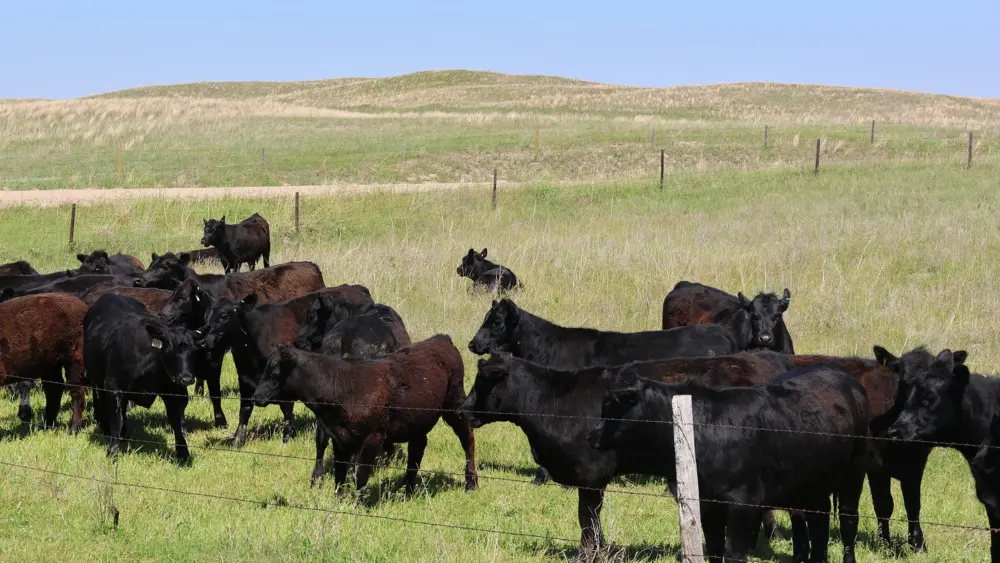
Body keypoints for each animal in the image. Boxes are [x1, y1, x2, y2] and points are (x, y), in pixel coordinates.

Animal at [0, 293, 88, 433]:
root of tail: (82, 304)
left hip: (74, 356)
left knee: (76, 389)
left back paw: (73, 429)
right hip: (50, 363)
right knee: (54, 389)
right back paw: (47, 424)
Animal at [83, 294, 200, 460]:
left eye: (195, 349)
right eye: (169, 348)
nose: (187, 379)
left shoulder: (172, 391)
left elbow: (176, 422)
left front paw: (183, 453)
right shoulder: (113, 387)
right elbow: (115, 422)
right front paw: (112, 452)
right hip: (97, 381)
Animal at [196, 286, 376, 447]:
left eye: (224, 316)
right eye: (206, 316)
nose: (202, 340)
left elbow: (286, 408)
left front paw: (288, 436)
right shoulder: (244, 377)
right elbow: (245, 409)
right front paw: (237, 440)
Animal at [252, 338, 478, 494]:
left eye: (274, 372)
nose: (255, 397)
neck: (342, 387)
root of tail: (442, 339)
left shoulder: (373, 437)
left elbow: (360, 475)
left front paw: (357, 504)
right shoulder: (339, 437)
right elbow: (340, 474)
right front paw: (338, 501)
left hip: (455, 404)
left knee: (467, 439)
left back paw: (471, 482)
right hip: (416, 420)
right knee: (417, 448)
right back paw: (407, 489)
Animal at [589, 364, 869, 563]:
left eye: (611, 405)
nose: (592, 436)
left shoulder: (743, 503)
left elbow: (733, 553)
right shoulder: (707, 503)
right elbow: (714, 550)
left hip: (853, 473)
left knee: (848, 519)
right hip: (811, 483)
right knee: (818, 521)